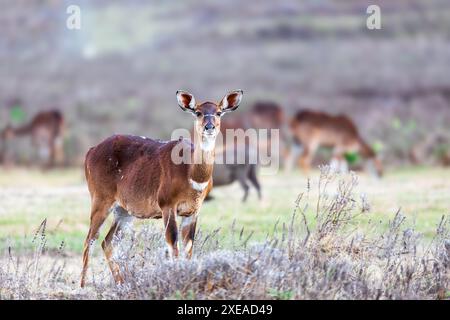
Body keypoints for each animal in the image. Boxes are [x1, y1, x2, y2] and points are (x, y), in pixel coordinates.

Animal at [81, 89, 243, 288]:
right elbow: (173, 245)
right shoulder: (167, 205)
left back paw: (122, 283)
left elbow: (188, 249)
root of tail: (90, 151)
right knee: (90, 240)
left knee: (107, 242)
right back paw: (82, 286)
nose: (209, 126)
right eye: (198, 112)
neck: (191, 173)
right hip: (101, 200)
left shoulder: (193, 211)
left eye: (219, 112)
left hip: (124, 211)